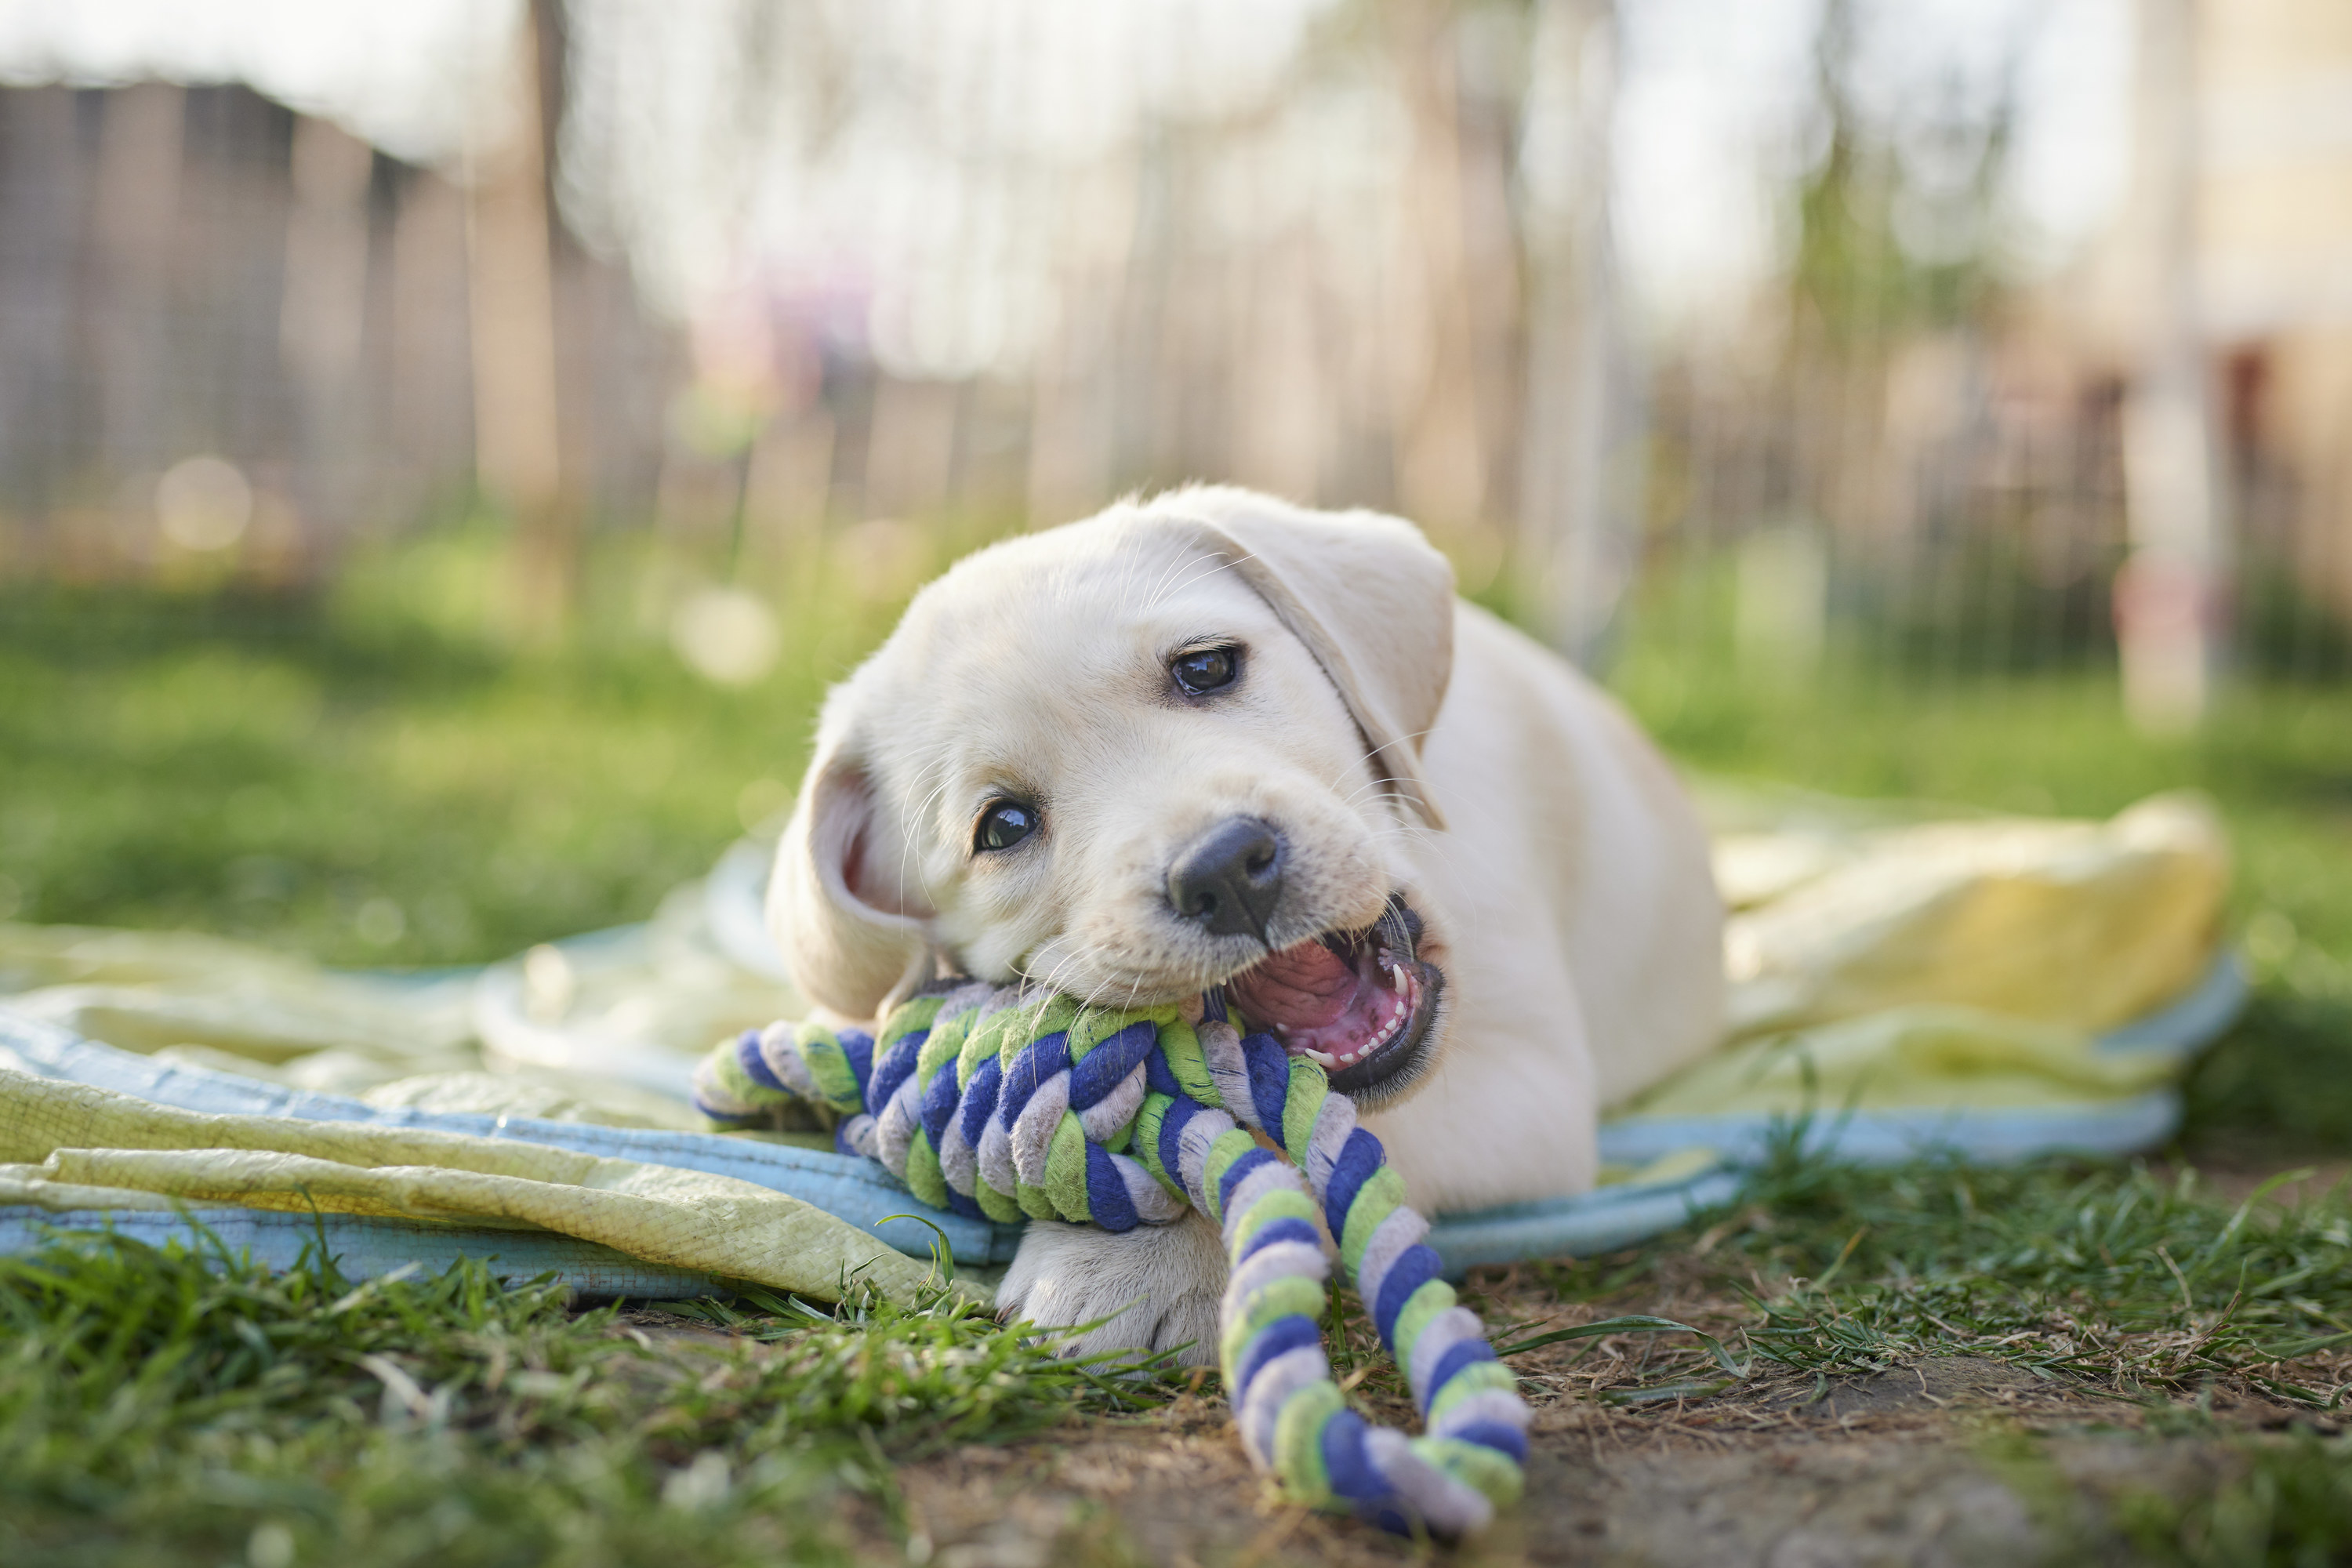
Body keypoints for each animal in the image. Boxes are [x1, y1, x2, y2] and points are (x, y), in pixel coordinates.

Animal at [767, 486, 1712, 1363]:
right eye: (1002, 826)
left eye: (1208, 667)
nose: (1222, 870)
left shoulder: (1532, 1085)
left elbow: (1289, 1135)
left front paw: (1136, 1264)